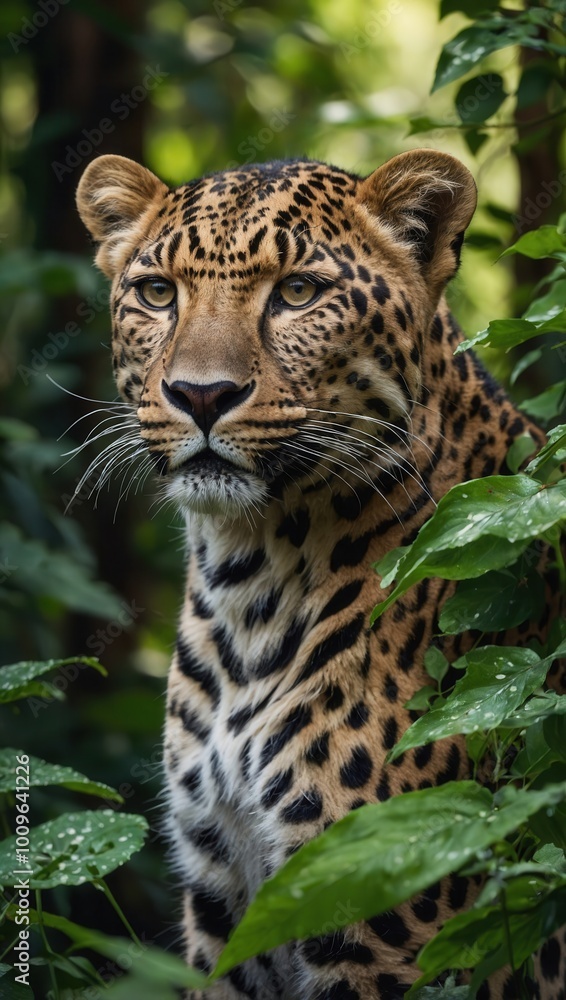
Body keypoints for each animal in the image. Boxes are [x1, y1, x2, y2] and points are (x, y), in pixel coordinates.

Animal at [76, 149, 565, 1000]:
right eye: (158, 293)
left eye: (298, 293)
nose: (201, 394)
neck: (246, 579)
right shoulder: (227, 894)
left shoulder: (378, 894)